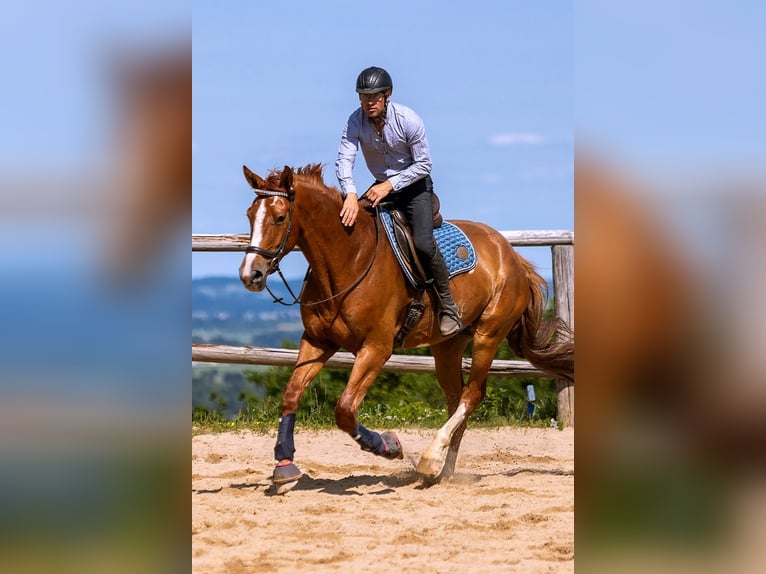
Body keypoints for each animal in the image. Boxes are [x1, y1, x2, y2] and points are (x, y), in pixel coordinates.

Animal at [239, 163, 573, 493]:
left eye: (280, 218)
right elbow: (292, 394)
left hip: (487, 336)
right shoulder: (317, 341)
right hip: (447, 346)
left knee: (472, 395)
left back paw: (430, 459)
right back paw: (442, 472)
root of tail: (513, 257)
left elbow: (345, 410)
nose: (250, 275)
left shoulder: (376, 348)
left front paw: (389, 446)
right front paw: (284, 468)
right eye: (250, 215)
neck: (349, 257)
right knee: (456, 399)